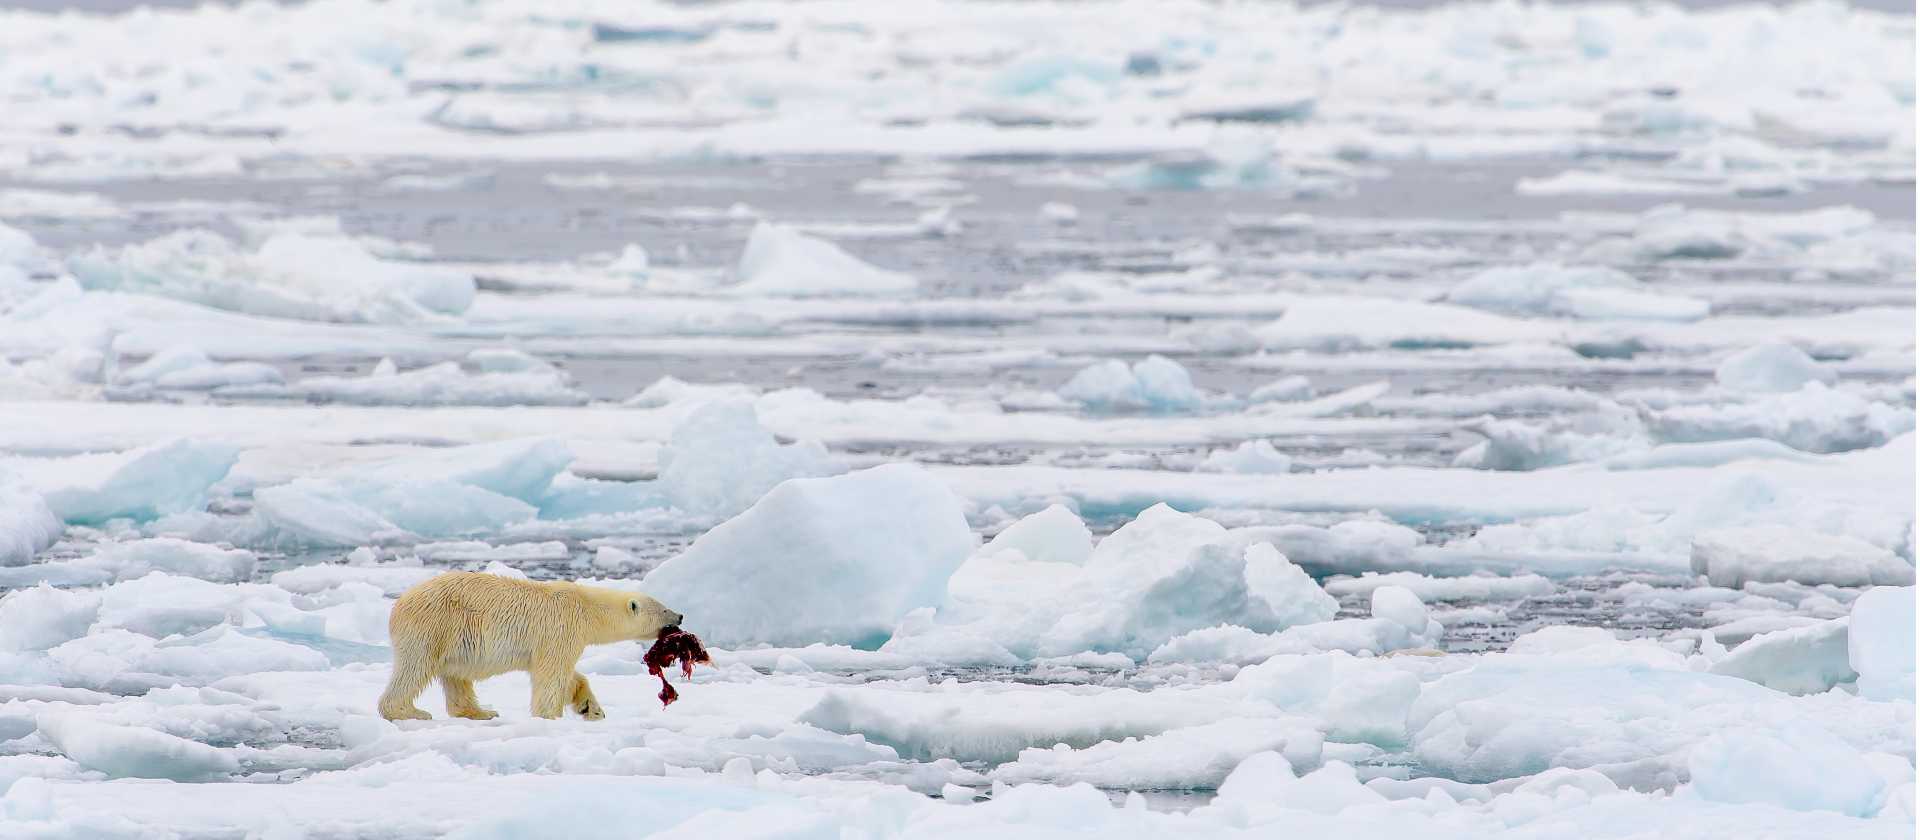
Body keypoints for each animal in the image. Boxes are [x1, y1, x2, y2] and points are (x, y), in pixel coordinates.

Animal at [378, 572, 683, 722]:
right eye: (664, 608)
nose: (680, 616)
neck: (587, 606)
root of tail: (398, 605)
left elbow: (570, 677)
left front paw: (592, 709)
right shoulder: (562, 629)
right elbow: (552, 675)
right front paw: (550, 716)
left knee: (456, 677)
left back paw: (481, 712)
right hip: (434, 626)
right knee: (416, 668)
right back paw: (410, 712)